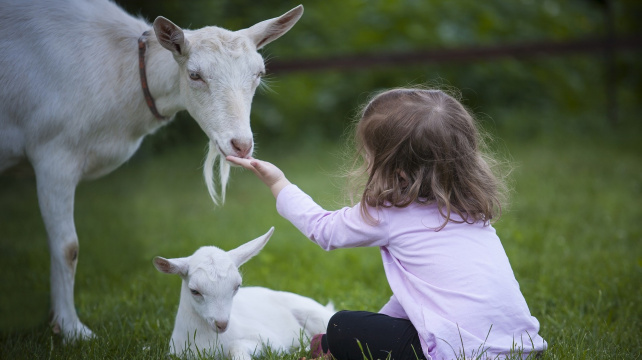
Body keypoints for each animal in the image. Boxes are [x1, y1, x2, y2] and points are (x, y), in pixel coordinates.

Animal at [0, 0, 302, 340]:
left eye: (259, 73)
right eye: (195, 75)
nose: (241, 145)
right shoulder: (54, 152)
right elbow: (67, 247)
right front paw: (71, 329)